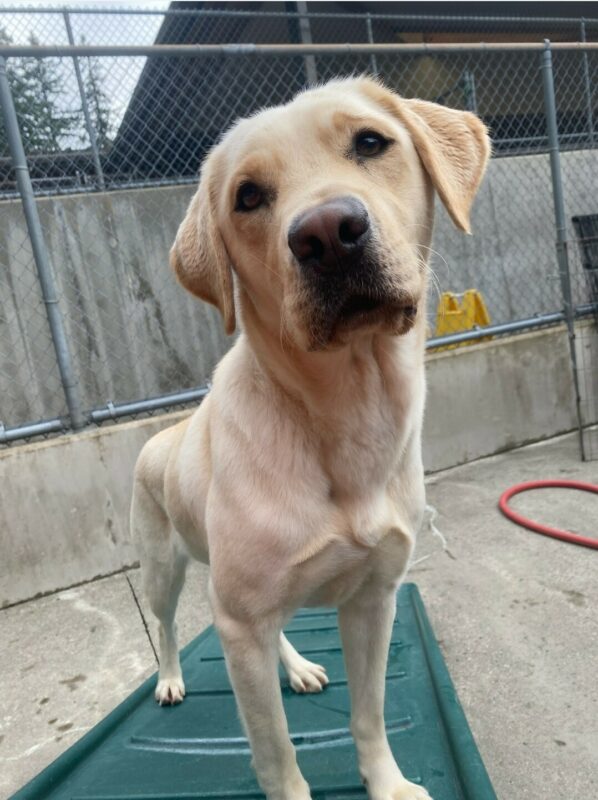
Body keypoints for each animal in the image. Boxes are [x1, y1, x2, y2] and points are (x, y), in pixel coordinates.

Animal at [130, 78, 488, 800]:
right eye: (247, 196)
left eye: (371, 142)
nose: (327, 233)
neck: (347, 413)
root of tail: (165, 433)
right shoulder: (241, 624)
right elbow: (276, 755)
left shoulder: (375, 599)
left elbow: (369, 713)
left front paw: (388, 783)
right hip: (162, 568)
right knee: (167, 622)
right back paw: (173, 678)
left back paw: (295, 666)